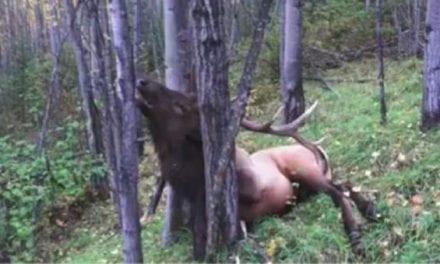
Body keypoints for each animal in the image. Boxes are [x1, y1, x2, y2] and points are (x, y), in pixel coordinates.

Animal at [137, 78, 378, 258]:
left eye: (181, 106)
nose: (143, 81)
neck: (191, 181)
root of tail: (317, 151)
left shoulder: (251, 185)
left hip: (305, 170)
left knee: (337, 192)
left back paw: (356, 237)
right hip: (316, 179)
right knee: (343, 184)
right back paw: (370, 209)